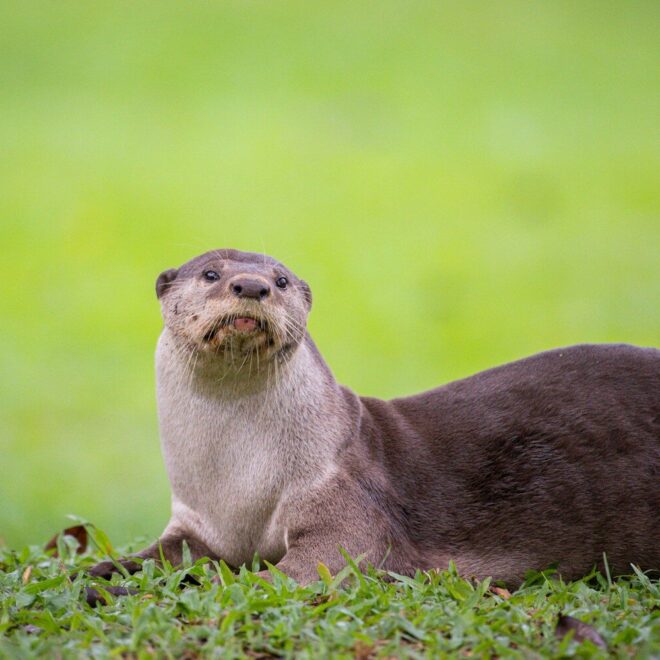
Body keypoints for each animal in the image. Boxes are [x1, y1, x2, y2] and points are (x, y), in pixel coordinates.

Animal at [89, 248, 660, 587]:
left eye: (280, 279)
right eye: (211, 274)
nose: (251, 287)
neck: (239, 483)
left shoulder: (345, 502)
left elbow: (310, 565)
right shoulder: (195, 520)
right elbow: (163, 553)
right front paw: (101, 572)